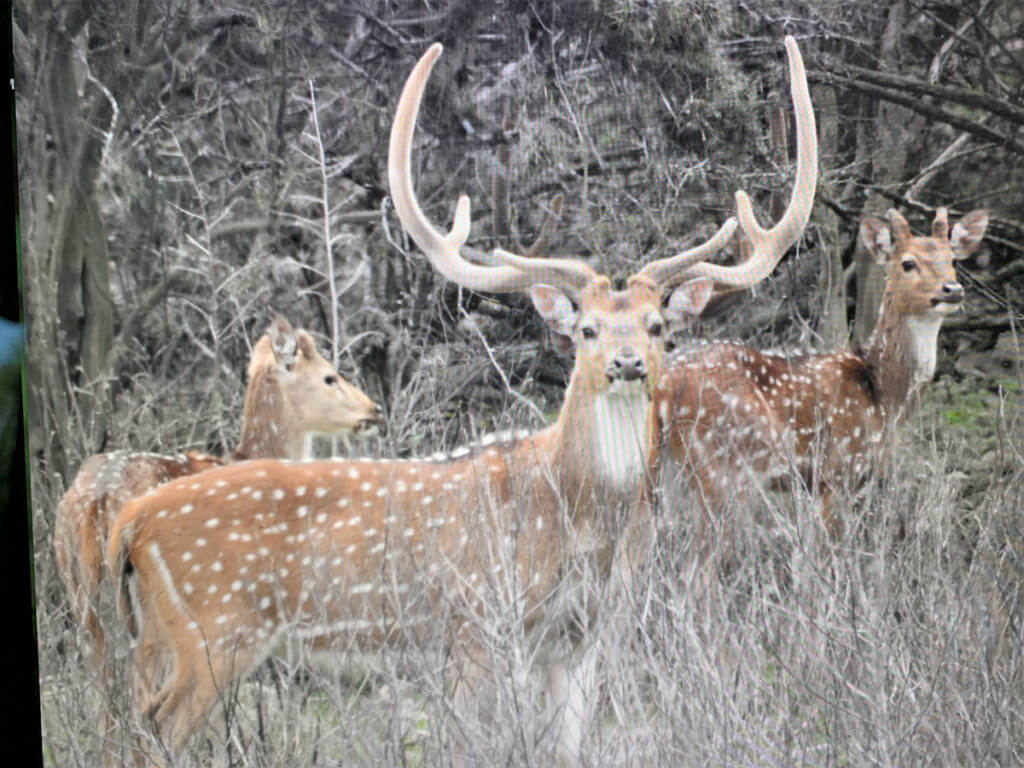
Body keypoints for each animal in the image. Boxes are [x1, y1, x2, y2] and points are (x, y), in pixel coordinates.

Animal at [105, 39, 815, 765]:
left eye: (656, 326)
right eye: (587, 329)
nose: (626, 364)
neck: (573, 518)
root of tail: (129, 525)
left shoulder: (579, 637)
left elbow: (568, 749)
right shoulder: (474, 621)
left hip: (167, 634)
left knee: (133, 718)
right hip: (215, 626)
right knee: (153, 728)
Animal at [655, 205, 983, 548]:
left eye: (953, 260)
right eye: (908, 263)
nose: (952, 289)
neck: (883, 395)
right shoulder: (837, 471)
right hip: (716, 465)